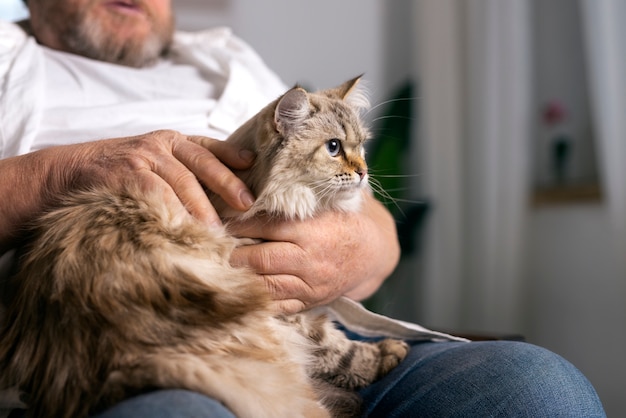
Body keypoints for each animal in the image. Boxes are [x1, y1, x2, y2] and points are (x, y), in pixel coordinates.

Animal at [0, 76, 408, 416]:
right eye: (334, 147)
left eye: (361, 147)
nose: (363, 172)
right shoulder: (281, 306)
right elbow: (337, 347)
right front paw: (387, 352)